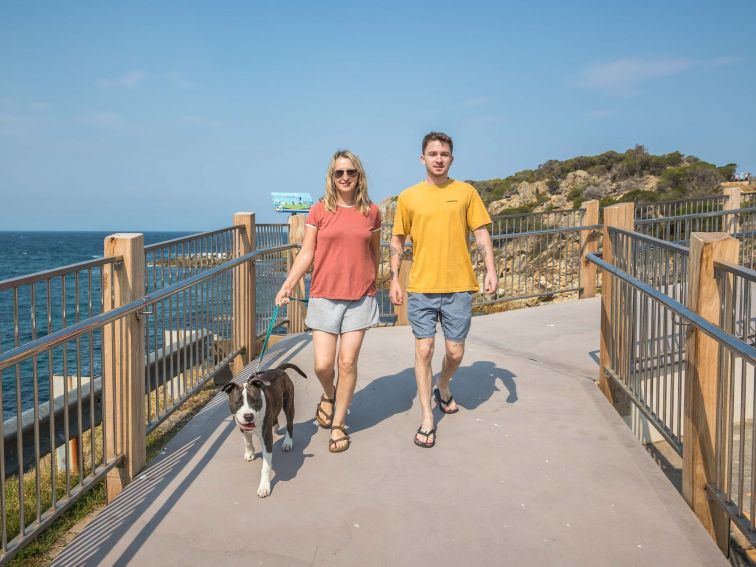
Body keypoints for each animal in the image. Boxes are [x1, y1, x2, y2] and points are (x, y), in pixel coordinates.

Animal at [221, 364, 308, 496]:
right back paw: (275, 426)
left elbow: (266, 467)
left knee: (289, 424)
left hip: (288, 404)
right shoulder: (242, 427)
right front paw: (249, 453)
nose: (248, 416)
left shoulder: (266, 439)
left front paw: (264, 487)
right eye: (238, 402)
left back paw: (287, 442)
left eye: (255, 400)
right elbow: (247, 441)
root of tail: (279, 370)